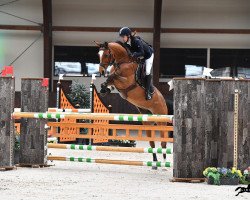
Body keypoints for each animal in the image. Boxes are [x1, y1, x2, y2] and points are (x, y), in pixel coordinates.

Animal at [95, 41, 170, 169]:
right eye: (98, 54)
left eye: (106, 54)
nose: (101, 71)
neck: (123, 62)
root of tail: (163, 101)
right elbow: (110, 79)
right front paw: (105, 89)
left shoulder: (126, 82)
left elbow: (113, 76)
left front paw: (106, 84)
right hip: (147, 122)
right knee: (152, 142)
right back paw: (155, 163)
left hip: (162, 121)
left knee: (163, 142)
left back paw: (164, 164)